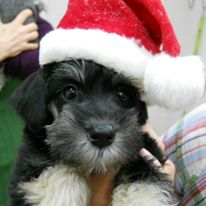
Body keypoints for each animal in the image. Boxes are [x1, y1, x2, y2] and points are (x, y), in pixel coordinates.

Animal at [9, 58, 178, 205]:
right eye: (70, 92)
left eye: (122, 94)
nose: (102, 135)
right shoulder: (30, 162)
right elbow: (56, 170)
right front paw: (63, 197)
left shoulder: (145, 149)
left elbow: (143, 181)